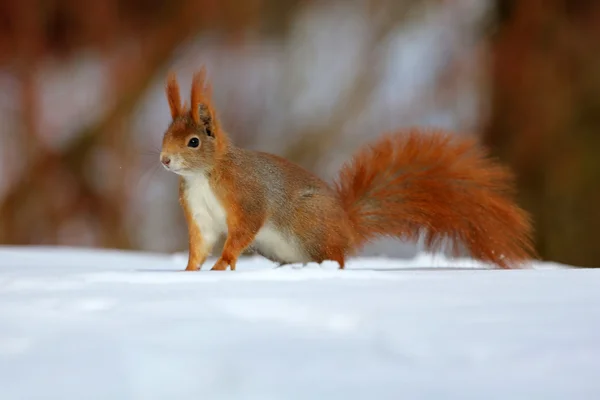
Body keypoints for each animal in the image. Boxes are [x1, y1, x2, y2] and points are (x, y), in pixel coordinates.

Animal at [159, 67, 536, 270]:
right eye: (165, 135)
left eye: (193, 142)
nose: (164, 159)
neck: (202, 176)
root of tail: (347, 226)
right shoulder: (200, 214)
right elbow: (201, 244)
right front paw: (190, 272)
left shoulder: (247, 196)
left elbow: (240, 233)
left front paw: (222, 264)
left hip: (309, 226)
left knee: (335, 258)